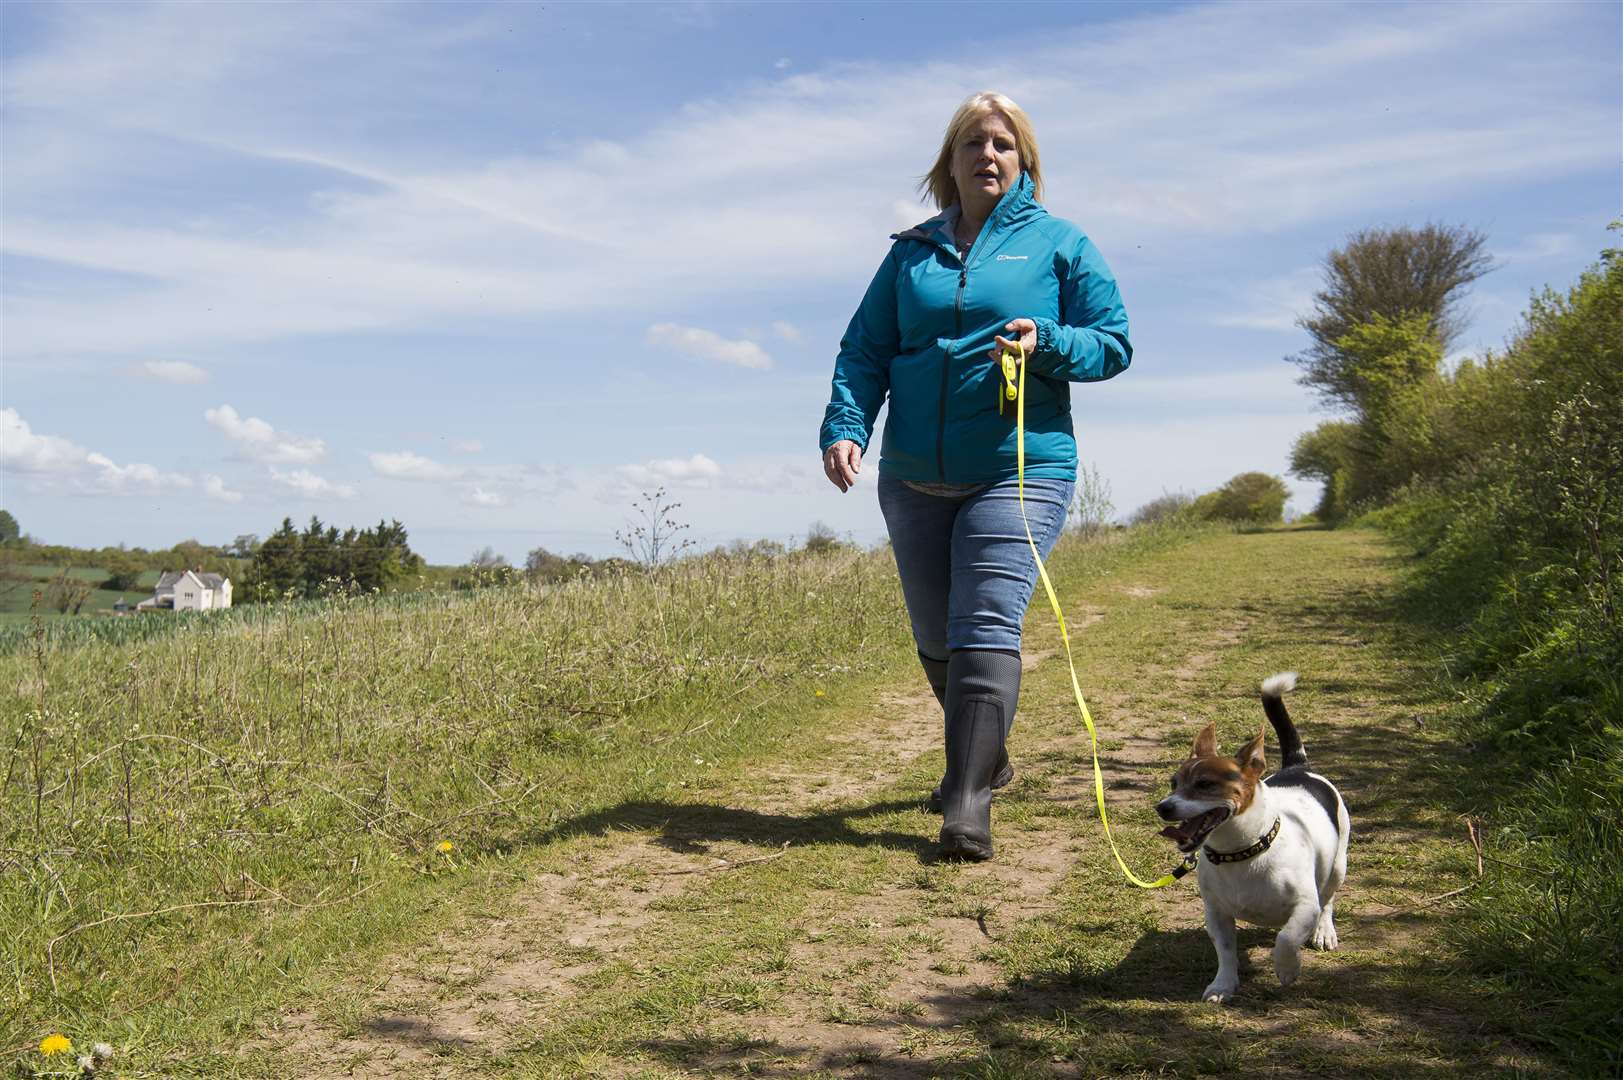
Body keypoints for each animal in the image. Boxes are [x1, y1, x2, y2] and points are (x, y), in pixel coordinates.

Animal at [1162, 675, 1350, 1000]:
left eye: (1205, 784)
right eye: (1174, 784)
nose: (1162, 807)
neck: (1241, 852)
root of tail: (1298, 766)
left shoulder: (1305, 907)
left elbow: (1287, 938)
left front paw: (1287, 968)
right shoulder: (1217, 913)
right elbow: (1225, 951)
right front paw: (1223, 984)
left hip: (1338, 865)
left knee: (1328, 899)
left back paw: (1324, 931)